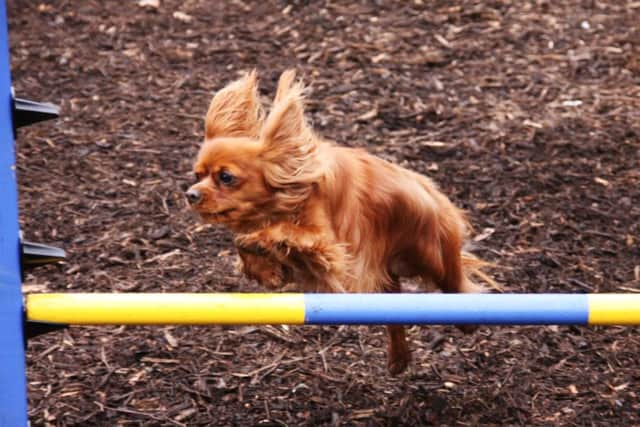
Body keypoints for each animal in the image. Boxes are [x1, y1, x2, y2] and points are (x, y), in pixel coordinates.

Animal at [188, 70, 492, 374]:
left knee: (456, 286)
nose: (190, 194)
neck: (286, 195)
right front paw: (265, 269)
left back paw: (467, 323)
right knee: (394, 316)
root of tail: (433, 191)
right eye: (197, 175)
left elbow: (281, 232)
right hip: (386, 278)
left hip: (434, 258)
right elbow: (245, 244)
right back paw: (399, 359)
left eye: (226, 177)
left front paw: (262, 246)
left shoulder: (327, 243)